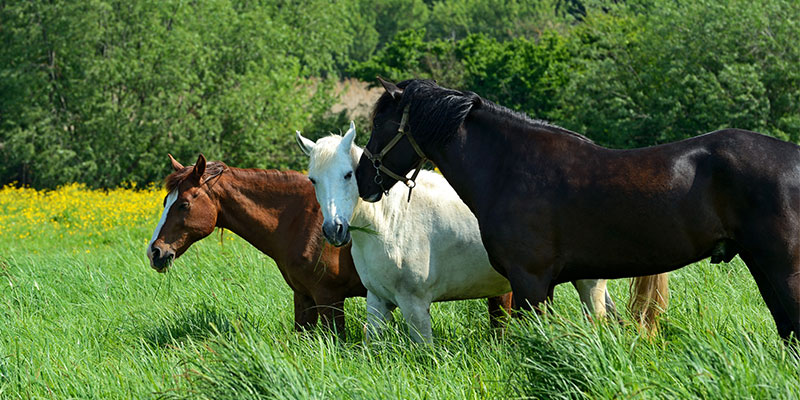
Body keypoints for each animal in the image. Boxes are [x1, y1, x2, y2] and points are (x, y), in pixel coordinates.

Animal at [147, 155, 512, 340]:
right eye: (165, 201)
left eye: (184, 205)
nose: (155, 252)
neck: (302, 219)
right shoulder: (304, 297)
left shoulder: (329, 298)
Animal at [294, 122, 612, 344]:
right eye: (313, 179)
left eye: (348, 175)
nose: (334, 229)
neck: (389, 223)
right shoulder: (377, 301)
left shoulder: (415, 305)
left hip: (588, 282)